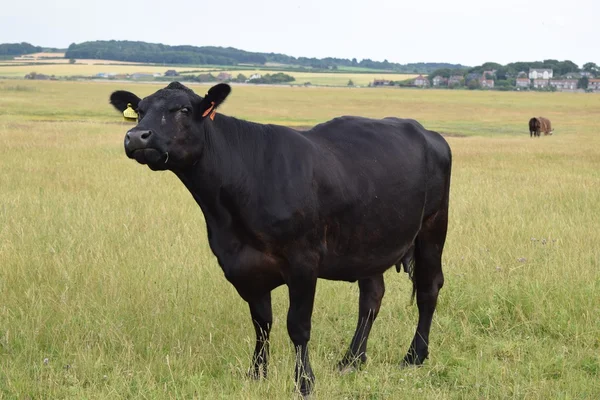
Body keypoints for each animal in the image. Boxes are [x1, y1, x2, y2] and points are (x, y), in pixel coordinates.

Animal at [110, 82, 452, 396]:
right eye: (139, 111)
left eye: (182, 109)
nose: (137, 137)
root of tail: (427, 132)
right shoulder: (244, 266)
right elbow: (262, 323)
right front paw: (257, 374)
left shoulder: (302, 261)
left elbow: (297, 326)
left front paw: (304, 382)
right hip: (369, 243)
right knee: (371, 297)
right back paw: (351, 361)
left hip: (433, 227)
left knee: (428, 288)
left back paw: (414, 356)